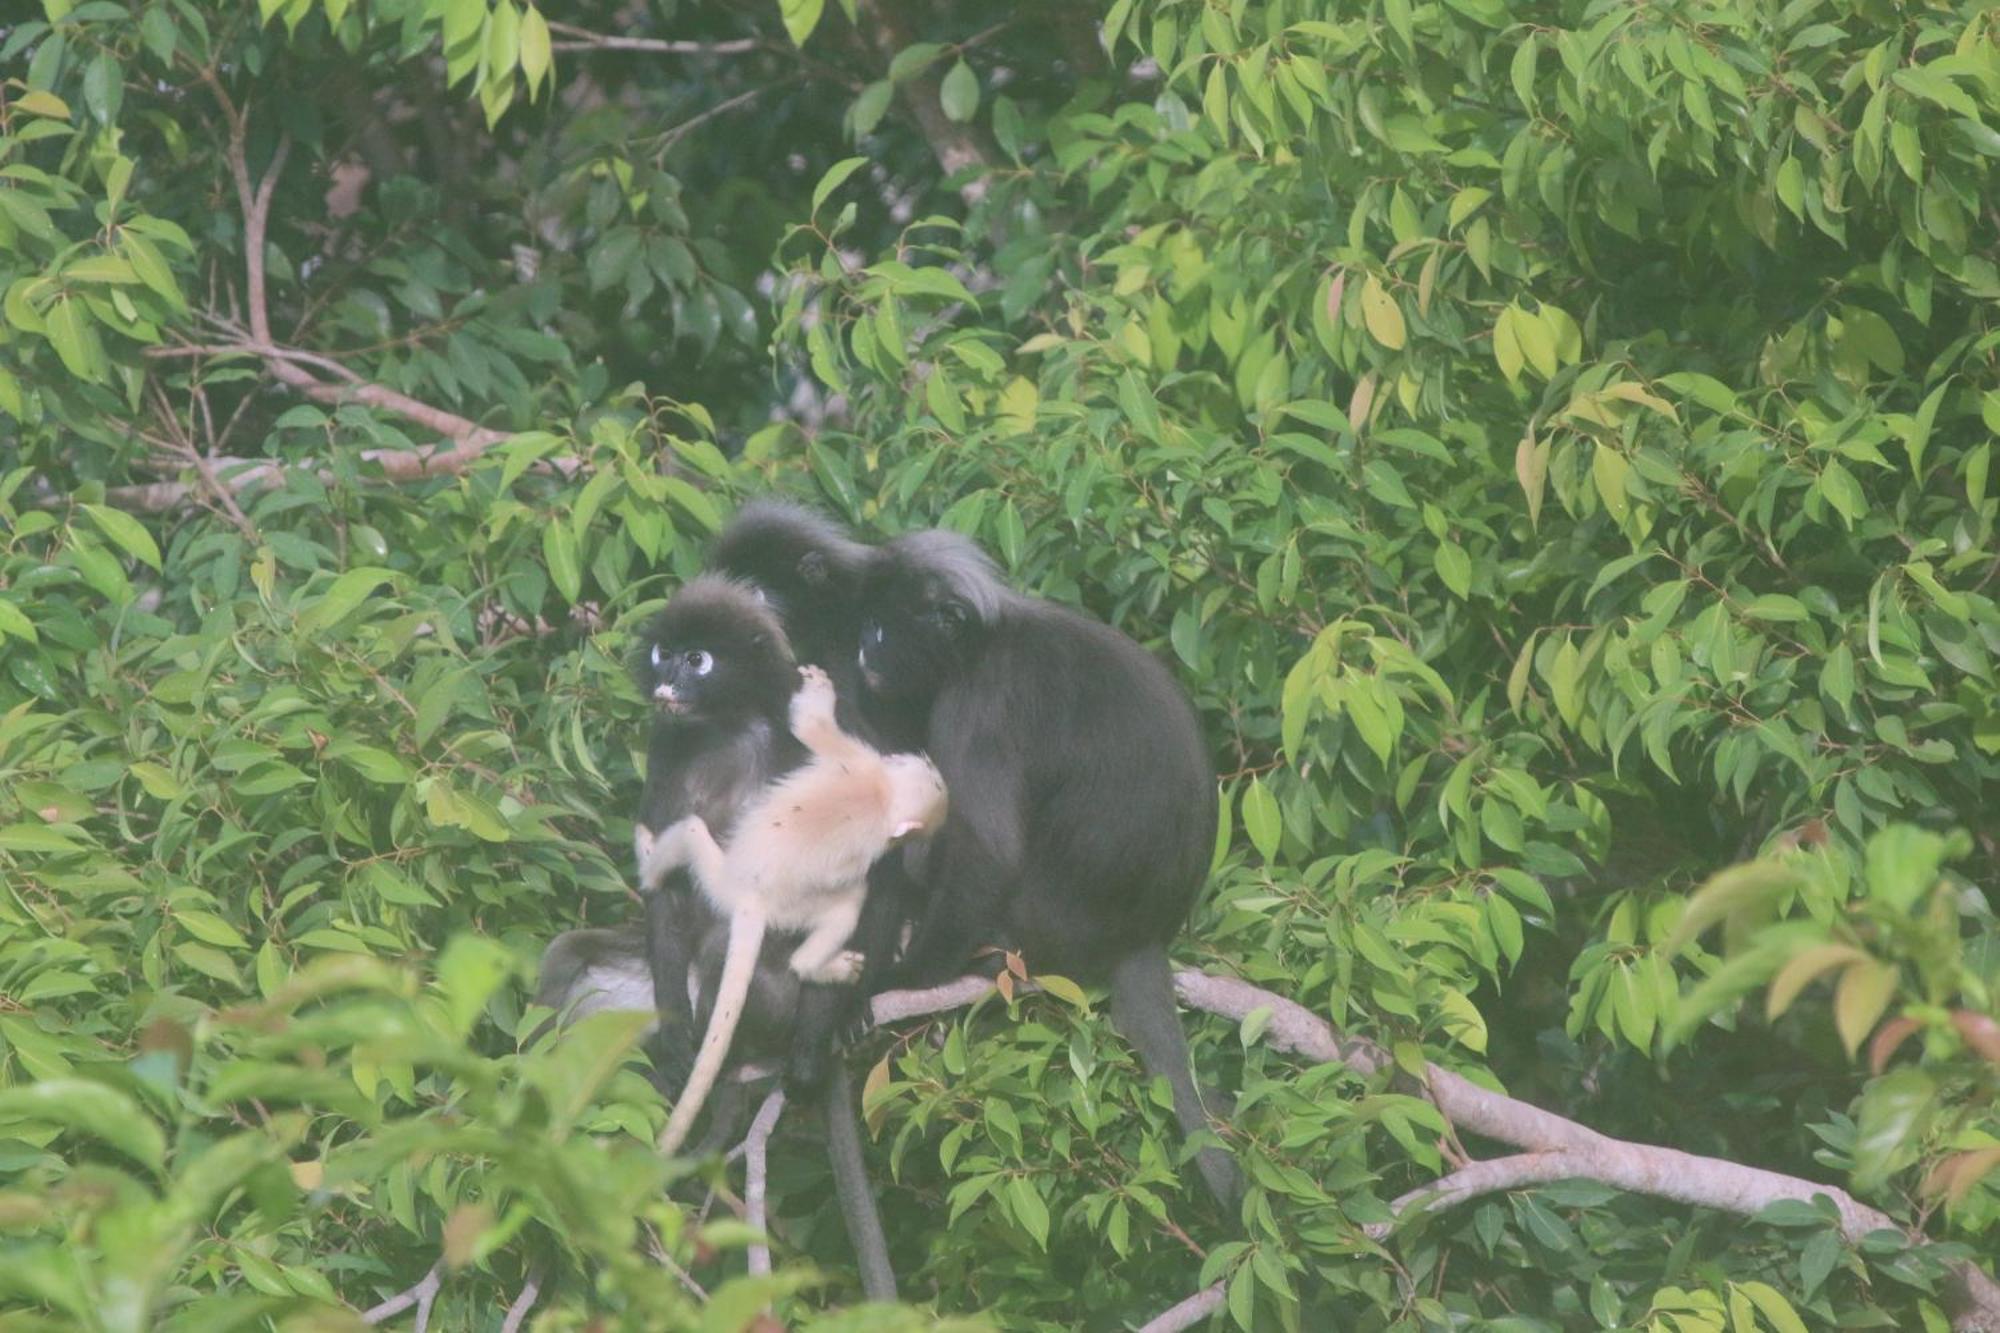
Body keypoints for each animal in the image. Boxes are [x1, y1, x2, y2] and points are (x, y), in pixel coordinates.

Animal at [644, 664, 948, 1152]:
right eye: (935, 782)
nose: (932, 766)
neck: (882, 794)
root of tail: (749, 901)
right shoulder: (862, 765)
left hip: (719, 875)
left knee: (689, 831)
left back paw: (649, 863)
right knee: (841, 914)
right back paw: (822, 966)